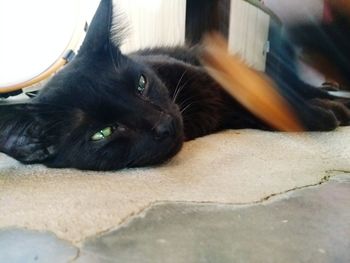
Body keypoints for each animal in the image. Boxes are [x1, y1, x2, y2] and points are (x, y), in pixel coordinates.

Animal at [0, 0, 348, 171]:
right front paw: (317, 116)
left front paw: (318, 113)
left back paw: (336, 102)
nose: (164, 123)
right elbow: (255, 110)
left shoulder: (211, 78)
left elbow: (255, 98)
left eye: (140, 84)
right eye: (103, 133)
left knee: (292, 87)